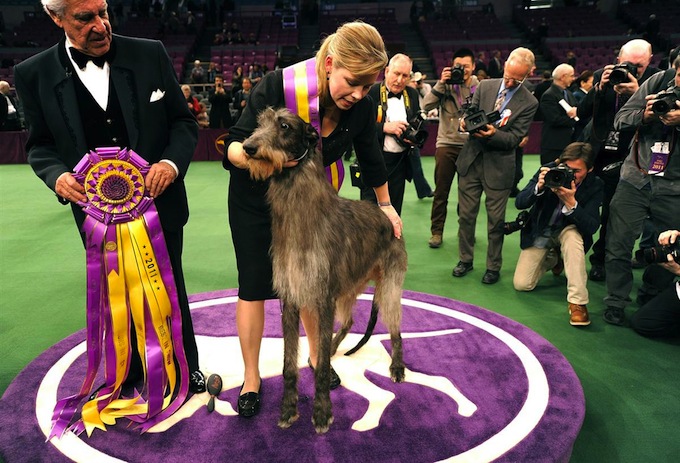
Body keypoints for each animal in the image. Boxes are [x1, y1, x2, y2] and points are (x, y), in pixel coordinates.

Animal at [242, 108, 406, 436]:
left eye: (284, 125)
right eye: (259, 123)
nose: (248, 148)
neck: (303, 216)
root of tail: (387, 213)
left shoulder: (323, 298)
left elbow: (316, 373)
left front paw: (321, 414)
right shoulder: (292, 297)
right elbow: (288, 365)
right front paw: (288, 410)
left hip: (389, 287)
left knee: (396, 330)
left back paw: (396, 366)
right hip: (349, 287)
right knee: (350, 320)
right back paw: (331, 349)